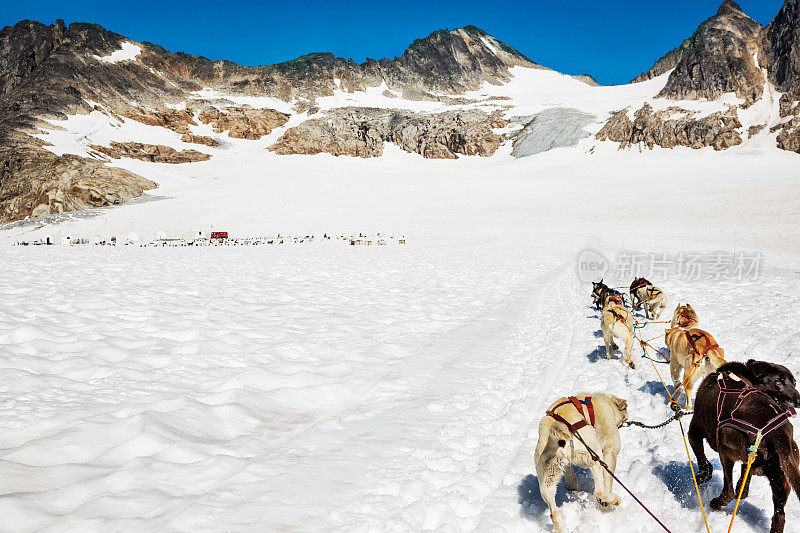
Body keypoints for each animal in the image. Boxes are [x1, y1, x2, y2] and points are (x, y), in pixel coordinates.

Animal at [536, 390, 628, 532]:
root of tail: (553, 436)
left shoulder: (568, 467)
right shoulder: (610, 450)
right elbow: (608, 479)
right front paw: (605, 501)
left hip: (547, 483)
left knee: (554, 513)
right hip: (594, 455)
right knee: (599, 490)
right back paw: (614, 499)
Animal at [688, 360, 800, 528]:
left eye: (794, 382)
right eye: (778, 381)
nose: (799, 400)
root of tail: (777, 432)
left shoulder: (695, 428)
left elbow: (703, 459)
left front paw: (702, 476)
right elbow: (745, 476)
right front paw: (742, 487)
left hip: (725, 447)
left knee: (728, 492)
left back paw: (716, 503)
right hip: (781, 476)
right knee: (779, 516)